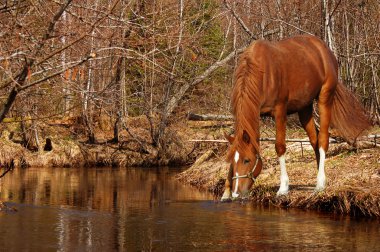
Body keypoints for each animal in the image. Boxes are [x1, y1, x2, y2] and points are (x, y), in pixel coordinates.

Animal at [221, 35, 370, 201]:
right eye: (231, 161)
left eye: (247, 160)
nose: (236, 193)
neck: (262, 73)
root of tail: (324, 49)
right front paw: (226, 193)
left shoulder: (280, 111)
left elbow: (280, 147)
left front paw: (283, 188)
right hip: (304, 108)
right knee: (314, 140)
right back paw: (321, 179)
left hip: (325, 98)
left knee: (323, 139)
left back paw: (319, 184)